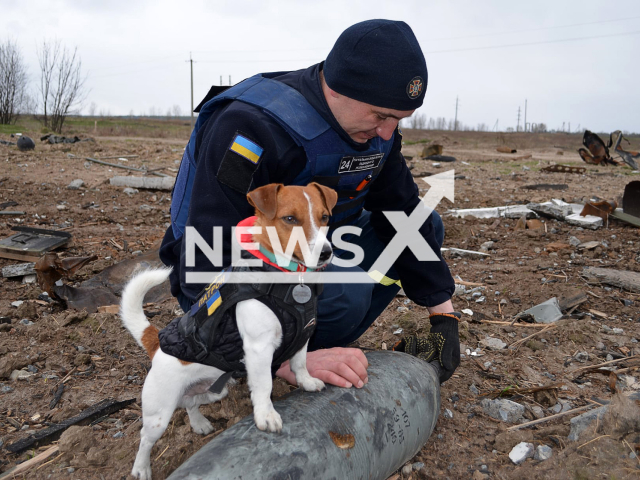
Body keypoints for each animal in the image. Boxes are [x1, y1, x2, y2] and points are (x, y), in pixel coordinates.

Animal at [121, 182, 340, 478]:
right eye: (290, 219)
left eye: (324, 217)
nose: (326, 253)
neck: (289, 280)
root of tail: (156, 343)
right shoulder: (258, 349)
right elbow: (264, 384)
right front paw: (266, 415)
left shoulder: (304, 333)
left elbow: (300, 363)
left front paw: (306, 382)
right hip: (159, 412)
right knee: (145, 438)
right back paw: (141, 468)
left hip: (214, 391)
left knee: (191, 403)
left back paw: (199, 423)